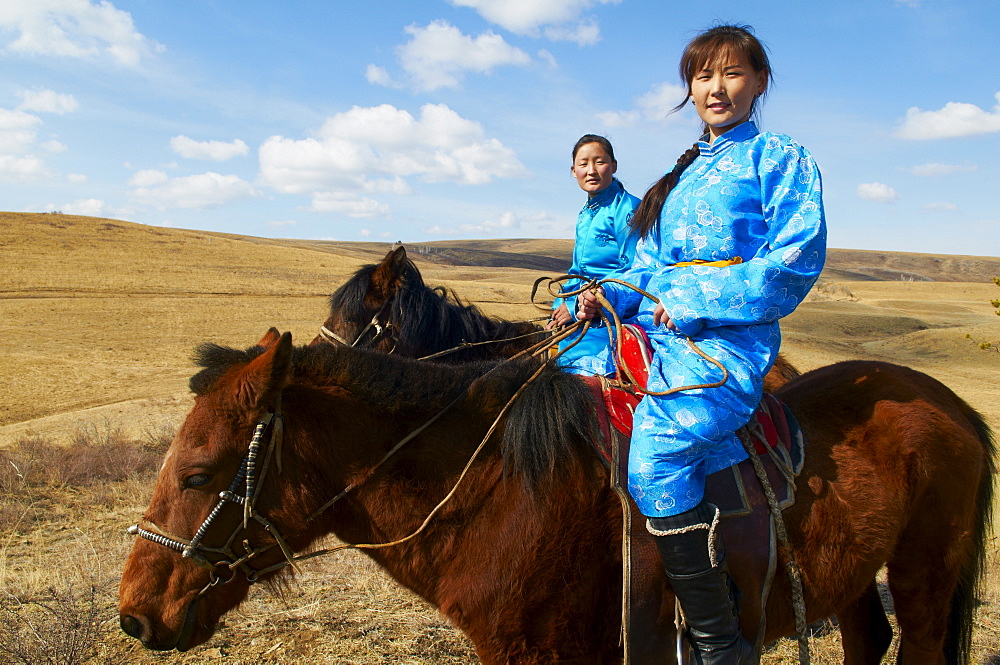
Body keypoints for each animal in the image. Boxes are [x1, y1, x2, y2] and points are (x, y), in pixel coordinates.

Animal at [117, 330, 992, 660]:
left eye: (197, 474)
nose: (134, 613)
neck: (497, 493)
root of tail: (950, 403)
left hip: (926, 574)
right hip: (851, 577)